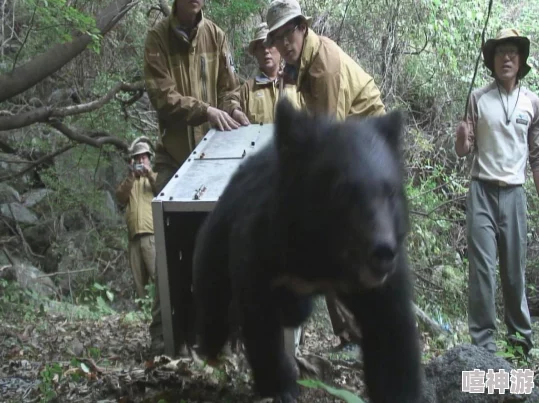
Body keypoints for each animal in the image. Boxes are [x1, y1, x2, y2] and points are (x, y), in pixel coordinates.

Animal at [192, 98, 424, 403]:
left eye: (391, 192)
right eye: (342, 193)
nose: (382, 254)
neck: (321, 257)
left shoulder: (381, 282)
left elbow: (391, 330)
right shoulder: (259, 246)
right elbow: (259, 318)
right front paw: (280, 387)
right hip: (217, 235)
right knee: (212, 293)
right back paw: (209, 349)